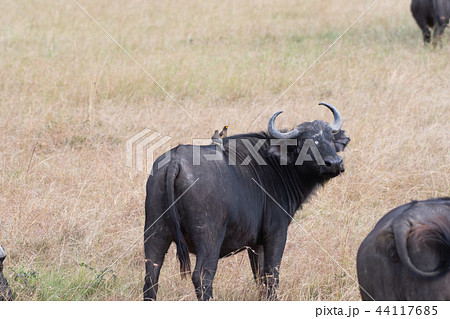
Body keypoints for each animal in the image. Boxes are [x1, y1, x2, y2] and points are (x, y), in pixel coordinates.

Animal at [142, 103, 350, 302]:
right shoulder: (276, 234)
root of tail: (175, 162)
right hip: (209, 238)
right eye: (305, 143)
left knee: (151, 274)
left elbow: (260, 277)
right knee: (202, 276)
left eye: (330, 139)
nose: (335, 163)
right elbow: (271, 275)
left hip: (155, 232)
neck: (275, 164)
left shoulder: (255, 244)